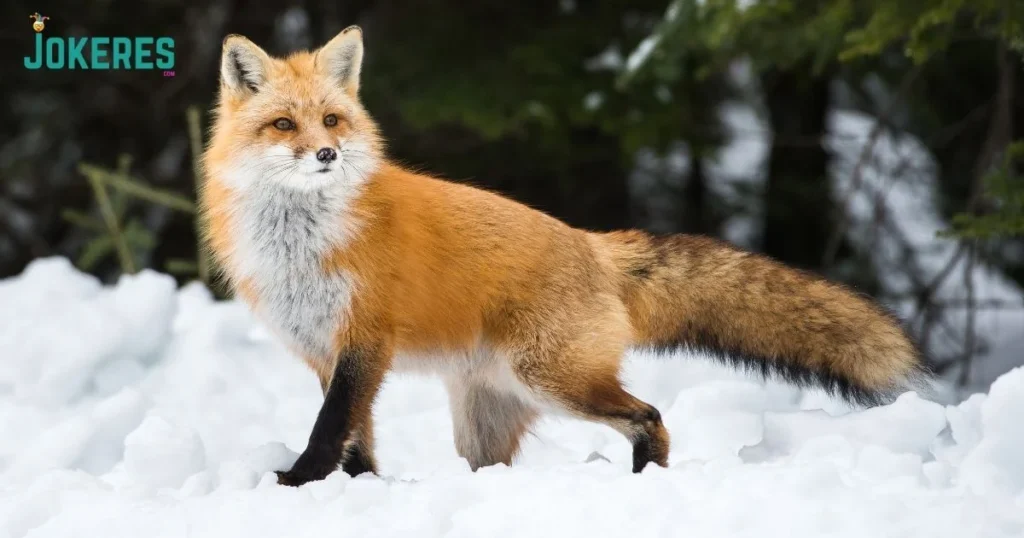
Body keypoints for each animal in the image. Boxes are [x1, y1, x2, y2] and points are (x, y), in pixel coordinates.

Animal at [199, 26, 932, 486]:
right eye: (284, 125)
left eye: (332, 121)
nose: (326, 153)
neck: (303, 242)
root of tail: (592, 243)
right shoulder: (327, 351)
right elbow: (355, 439)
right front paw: (358, 490)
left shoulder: (364, 342)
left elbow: (330, 430)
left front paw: (298, 483)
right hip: (487, 418)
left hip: (553, 379)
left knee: (650, 418)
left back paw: (645, 484)